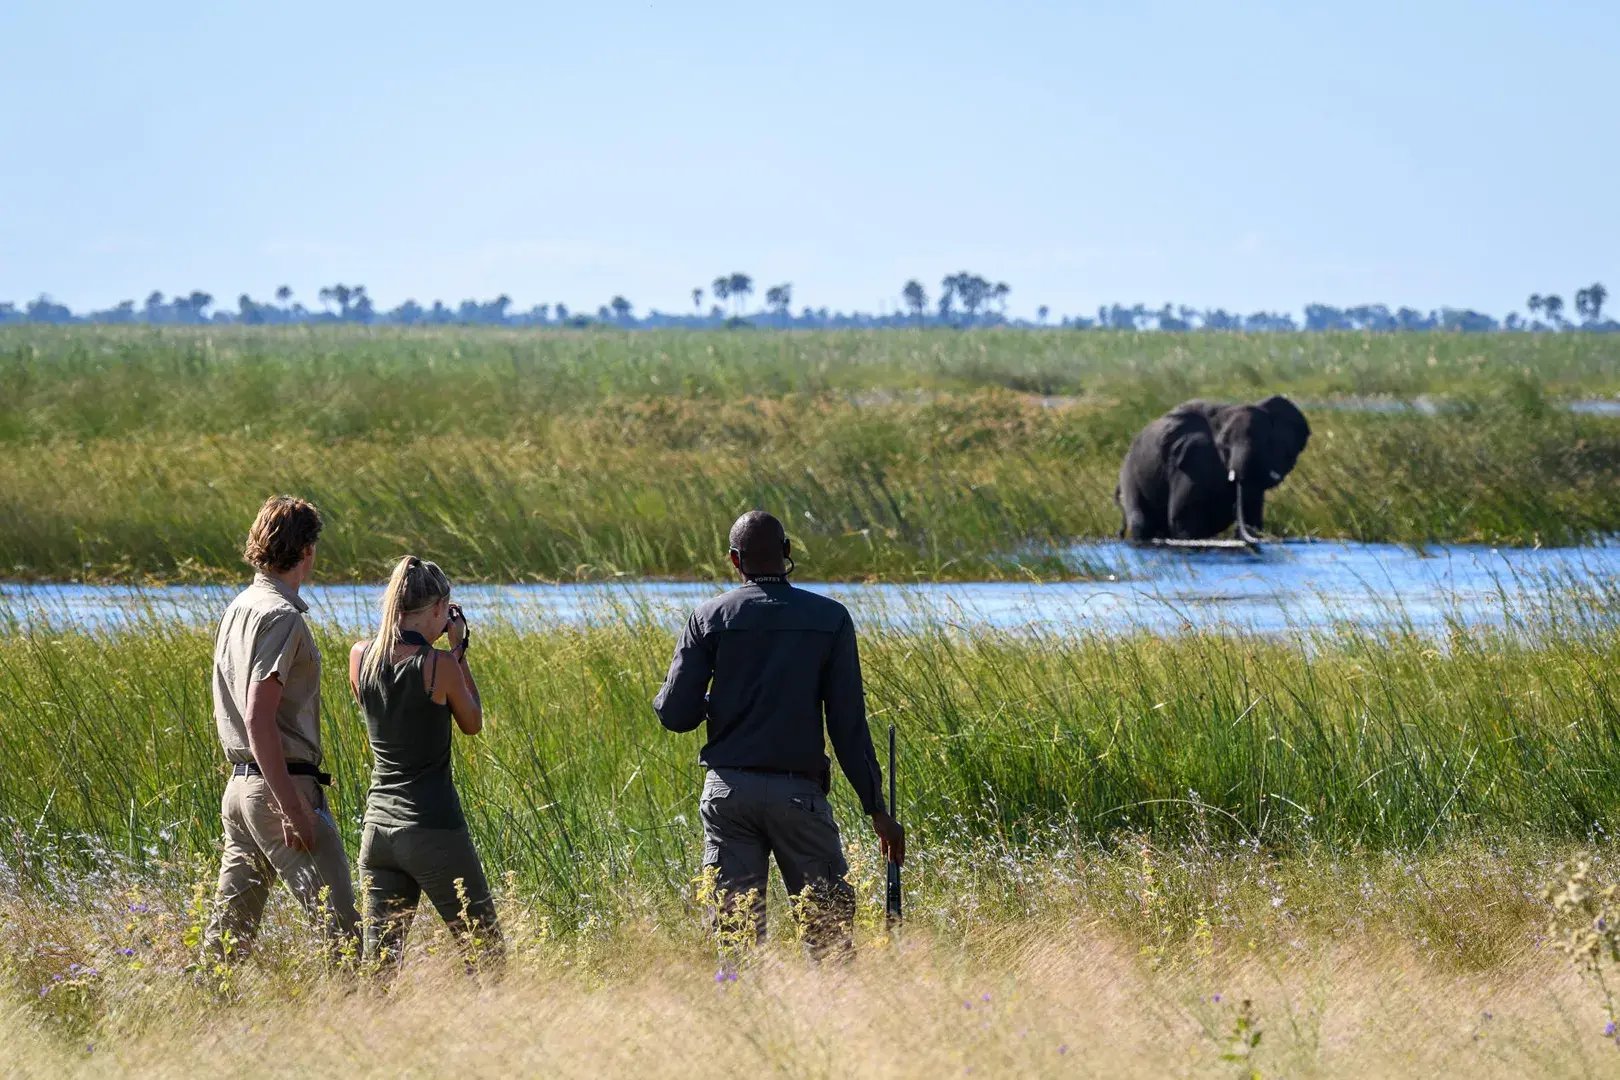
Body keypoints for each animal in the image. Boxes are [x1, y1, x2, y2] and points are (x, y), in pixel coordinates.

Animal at [1121, 395, 1308, 544]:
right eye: (1224, 445)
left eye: (1267, 442)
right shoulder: (1192, 461)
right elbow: (1183, 516)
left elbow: (1252, 511)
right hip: (1130, 474)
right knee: (1141, 522)